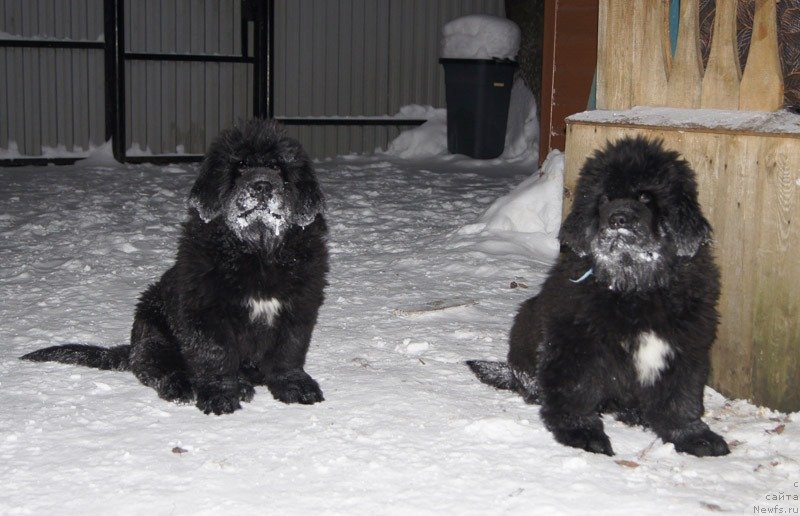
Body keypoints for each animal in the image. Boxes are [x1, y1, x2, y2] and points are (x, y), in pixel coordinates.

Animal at [21, 118, 328, 416]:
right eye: (240, 165)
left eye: (276, 166)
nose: (262, 186)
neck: (257, 251)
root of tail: (132, 347)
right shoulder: (206, 312)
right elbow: (215, 354)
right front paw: (219, 395)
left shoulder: (297, 308)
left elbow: (287, 351)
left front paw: (294, 385)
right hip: (154, 332)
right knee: (155, 369)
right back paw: (187, 387)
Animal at [468, 136, 732, 456]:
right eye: (604, 199)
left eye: (646, 197)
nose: (619, 218)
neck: (634, 286)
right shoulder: (577, 344)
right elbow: (576, 392)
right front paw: (582, 433)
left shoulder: (684, 346)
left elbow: (680, 398)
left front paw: (693, 436)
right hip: (526, 324)